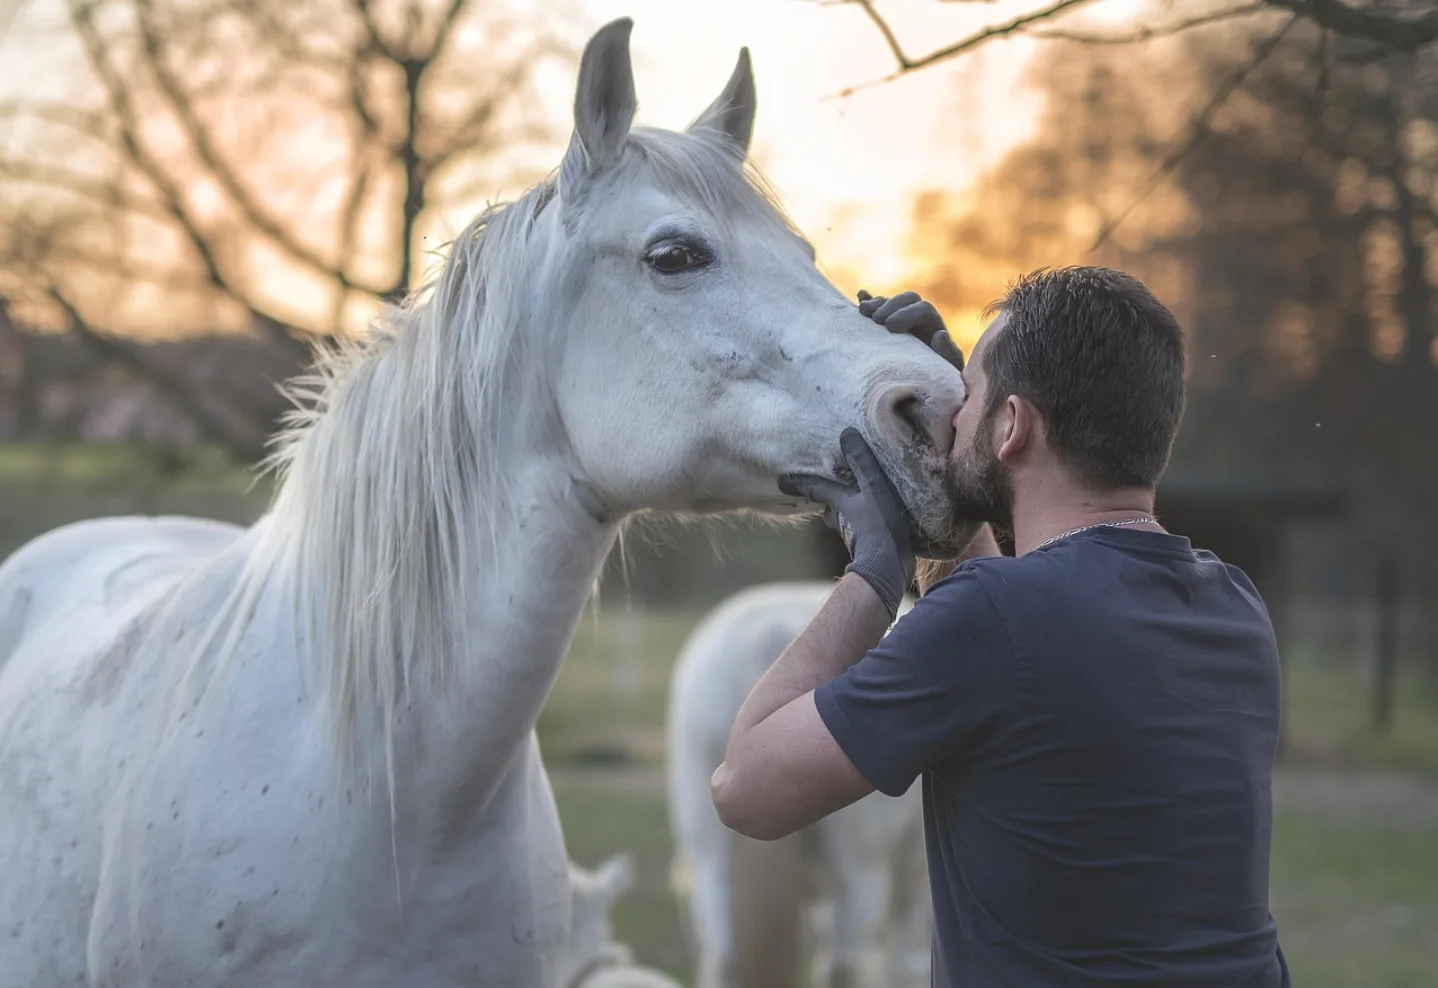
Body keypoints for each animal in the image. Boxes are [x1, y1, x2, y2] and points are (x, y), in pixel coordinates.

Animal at [666, 582, 931, 988]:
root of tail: (768, 635)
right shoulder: (911, 887)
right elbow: (897, 965)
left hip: (710, 860)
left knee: (724, 954)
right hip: (861, 873)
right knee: (842, 963)